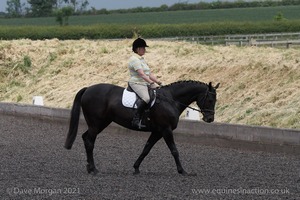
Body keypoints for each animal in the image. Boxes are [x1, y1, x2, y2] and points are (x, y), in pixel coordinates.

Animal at [64, 80, 219, 176]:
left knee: (86, 138)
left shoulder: (157, 131)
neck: (171, 100)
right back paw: (94, 169)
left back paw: (89, 167)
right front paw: (183, 171)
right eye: (210, 100)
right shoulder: (166, 130)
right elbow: (174, 150)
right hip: (96, 123)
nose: (210, 119)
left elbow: (146, 149)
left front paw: (136, 168)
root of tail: (88, 89)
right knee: (90, 141)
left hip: (100, 123)